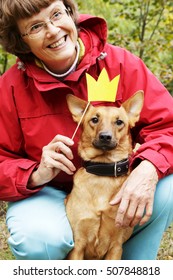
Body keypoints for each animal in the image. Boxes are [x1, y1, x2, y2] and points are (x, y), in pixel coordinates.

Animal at [65, 91, 144, 260]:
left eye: (119, 122)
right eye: (95, 119)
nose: (105, 136)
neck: (103, 171)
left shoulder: (116, 247)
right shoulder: (77, 246)